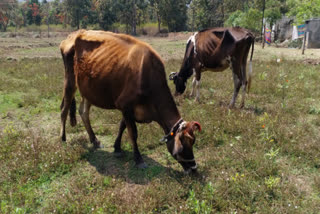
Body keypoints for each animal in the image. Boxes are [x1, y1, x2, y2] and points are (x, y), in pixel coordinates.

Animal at [58, 30, 201, 173]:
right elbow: (133, 133)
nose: (194, 168)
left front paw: (117, 148)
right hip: (69, 81)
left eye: (194, 142)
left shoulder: (127, 108)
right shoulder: (125, 105)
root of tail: (75, 33)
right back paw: (63, 138)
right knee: (64, 110)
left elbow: (122, 126)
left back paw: (94, 140)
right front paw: (138, 159)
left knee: (83, 111)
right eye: (184, 146)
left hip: (88, 89)